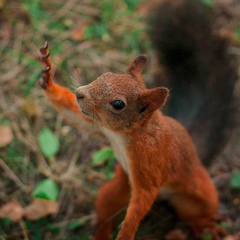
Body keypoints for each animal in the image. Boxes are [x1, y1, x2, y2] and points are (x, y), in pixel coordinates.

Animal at [38, 43, 220, 240]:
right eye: (106, 74)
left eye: (118, 104)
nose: (79, 93)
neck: (127, 134)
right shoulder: (101, 128)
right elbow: (71, 112)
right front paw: (47, 78)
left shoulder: (151, 159)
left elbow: (145, 194)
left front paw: (126, 231)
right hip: (114, 191)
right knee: (106, 209)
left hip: (203, 197)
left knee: (195, 214)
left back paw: (203, 226)